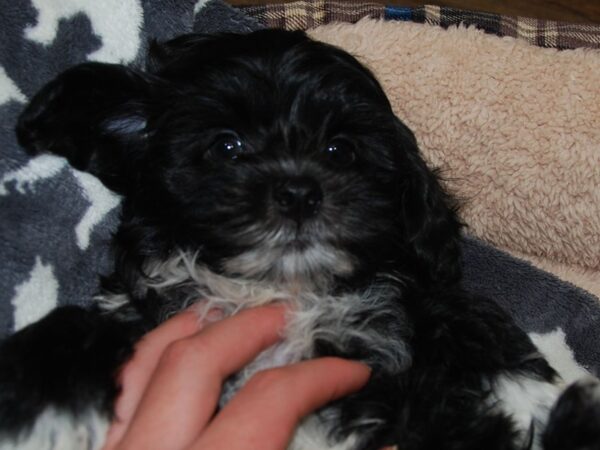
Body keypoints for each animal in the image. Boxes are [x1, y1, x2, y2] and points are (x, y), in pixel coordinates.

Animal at [1, 29, 600, 448]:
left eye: (341, 150)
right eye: (227, 146)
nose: (298, 192)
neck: (279, 290)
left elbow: (464, 316)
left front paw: (537, 393)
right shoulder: (147, 311)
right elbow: (77, 321)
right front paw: (44, 411)